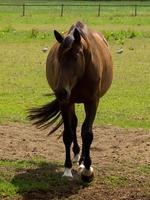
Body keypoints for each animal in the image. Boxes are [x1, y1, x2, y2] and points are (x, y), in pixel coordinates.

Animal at [28, 21, 112, 183]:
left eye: (75, 57)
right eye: (58, 58)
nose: (61, 91)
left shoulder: (92, 102)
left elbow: (87, 133)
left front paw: (87, 170)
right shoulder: (65, 103)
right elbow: (67, 133)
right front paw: (67, 169)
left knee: (83, 128)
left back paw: (82, 161)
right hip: (70, 102)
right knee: (74, 124)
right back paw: (76, 155)